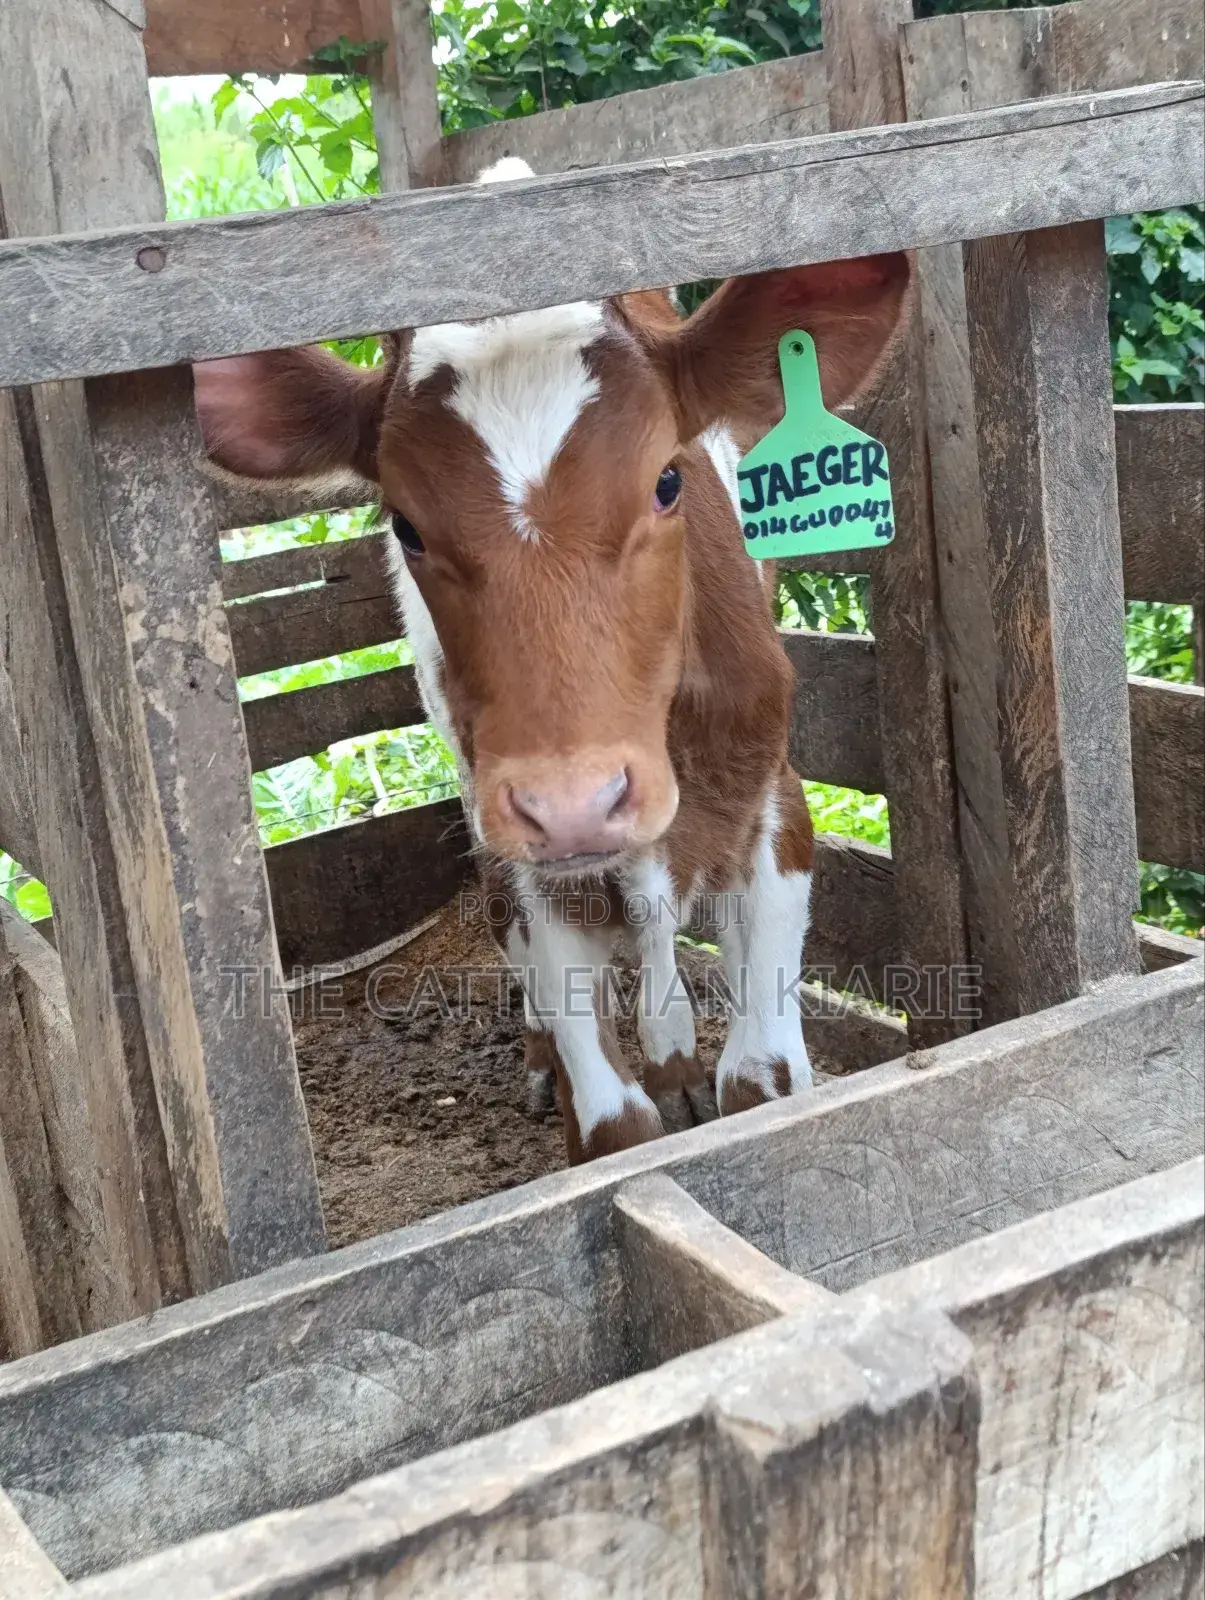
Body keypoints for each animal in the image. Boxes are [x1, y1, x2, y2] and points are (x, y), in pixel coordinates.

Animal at [196, 159, 910, 1165]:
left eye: (667, 481)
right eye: (406, 526)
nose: (575, 803)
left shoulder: (771, 804)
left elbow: (760, 1080)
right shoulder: (530, 850)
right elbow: (612, 1121)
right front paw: (601, 1096)